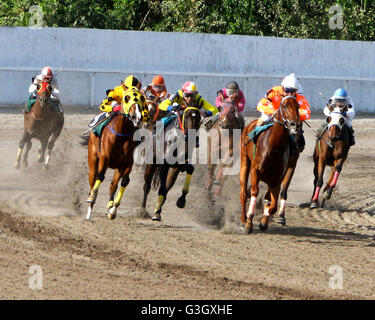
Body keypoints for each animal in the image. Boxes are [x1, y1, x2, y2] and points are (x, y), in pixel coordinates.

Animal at [84, 89, 145, 220]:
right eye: (127, 98)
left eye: (142, 98)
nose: (137, 117)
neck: (121, 135)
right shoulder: (104, 159)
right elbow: (100, 176)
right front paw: (92, 197)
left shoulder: (126, 164)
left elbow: (124, 181)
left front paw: (113, 208)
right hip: (93, 158)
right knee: (93, 179)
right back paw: (89, 209)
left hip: (118, 167)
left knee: (113, 185)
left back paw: (110, 206)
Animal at [241, 96, 302, 234]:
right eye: (284, 106)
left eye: (298, 106)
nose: (294, 124)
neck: (274, 146)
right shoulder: (255, 171)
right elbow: (254, 192)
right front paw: (249, 223)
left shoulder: (277, 178)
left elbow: (272, 206)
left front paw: (264, 221)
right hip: (245, 163)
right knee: (243, 193)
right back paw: (243, 219)